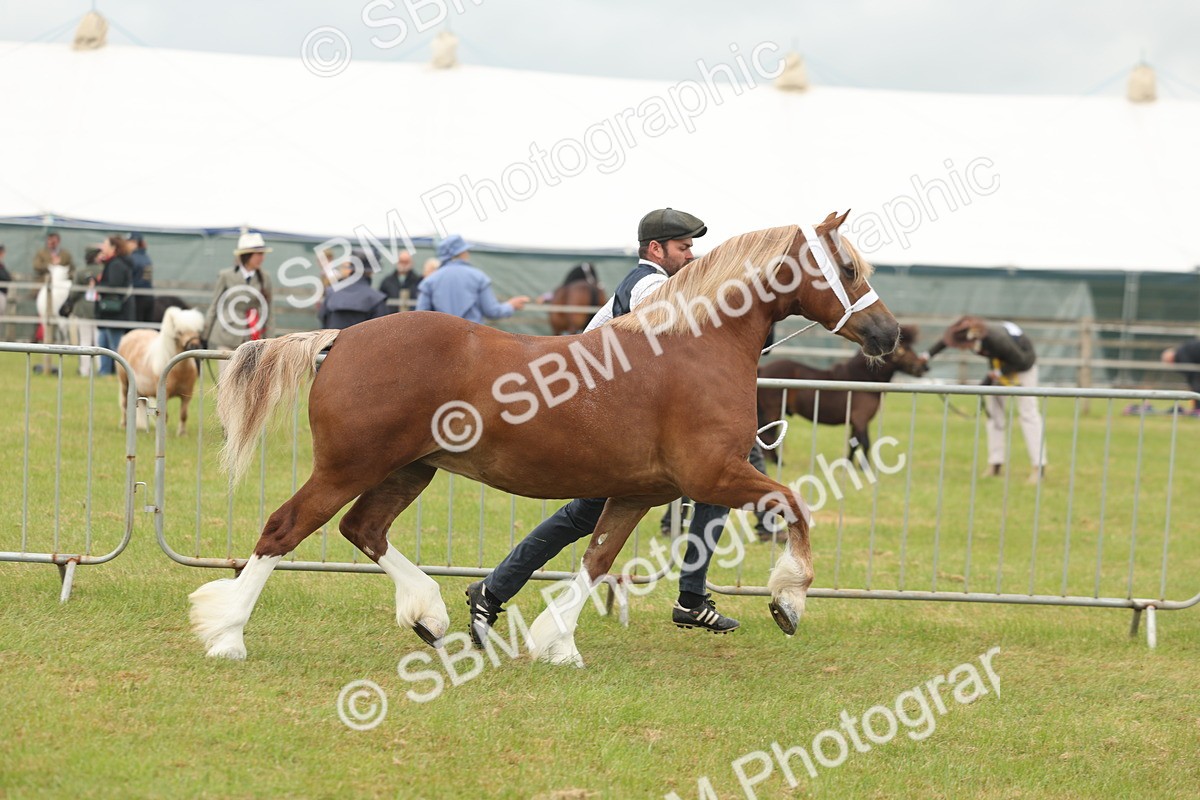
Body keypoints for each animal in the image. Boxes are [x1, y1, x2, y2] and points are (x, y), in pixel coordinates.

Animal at [188, 212, 900, 665]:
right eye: (846, 265)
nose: (888, 335)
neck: (694, 345)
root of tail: (340, 338)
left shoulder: (637, 492)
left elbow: (596, 560)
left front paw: (556, 643)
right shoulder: (715, 475)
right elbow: (795, 507)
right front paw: (789, 602)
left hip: (411, 468)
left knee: (362, 530)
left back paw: (433, 616)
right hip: (349, 465)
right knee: (284, 529)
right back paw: (227, 636)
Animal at [756, 325, 927, 465]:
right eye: (903, 350)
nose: (924, 367)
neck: (862, 378)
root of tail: (763, 369)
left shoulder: (856, 421)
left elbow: (854, 443)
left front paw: (849, 464)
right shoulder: (860, 418)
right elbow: (865, 442)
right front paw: (865, 468)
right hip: (773, 411)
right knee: (768, 435)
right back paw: (778, 462)